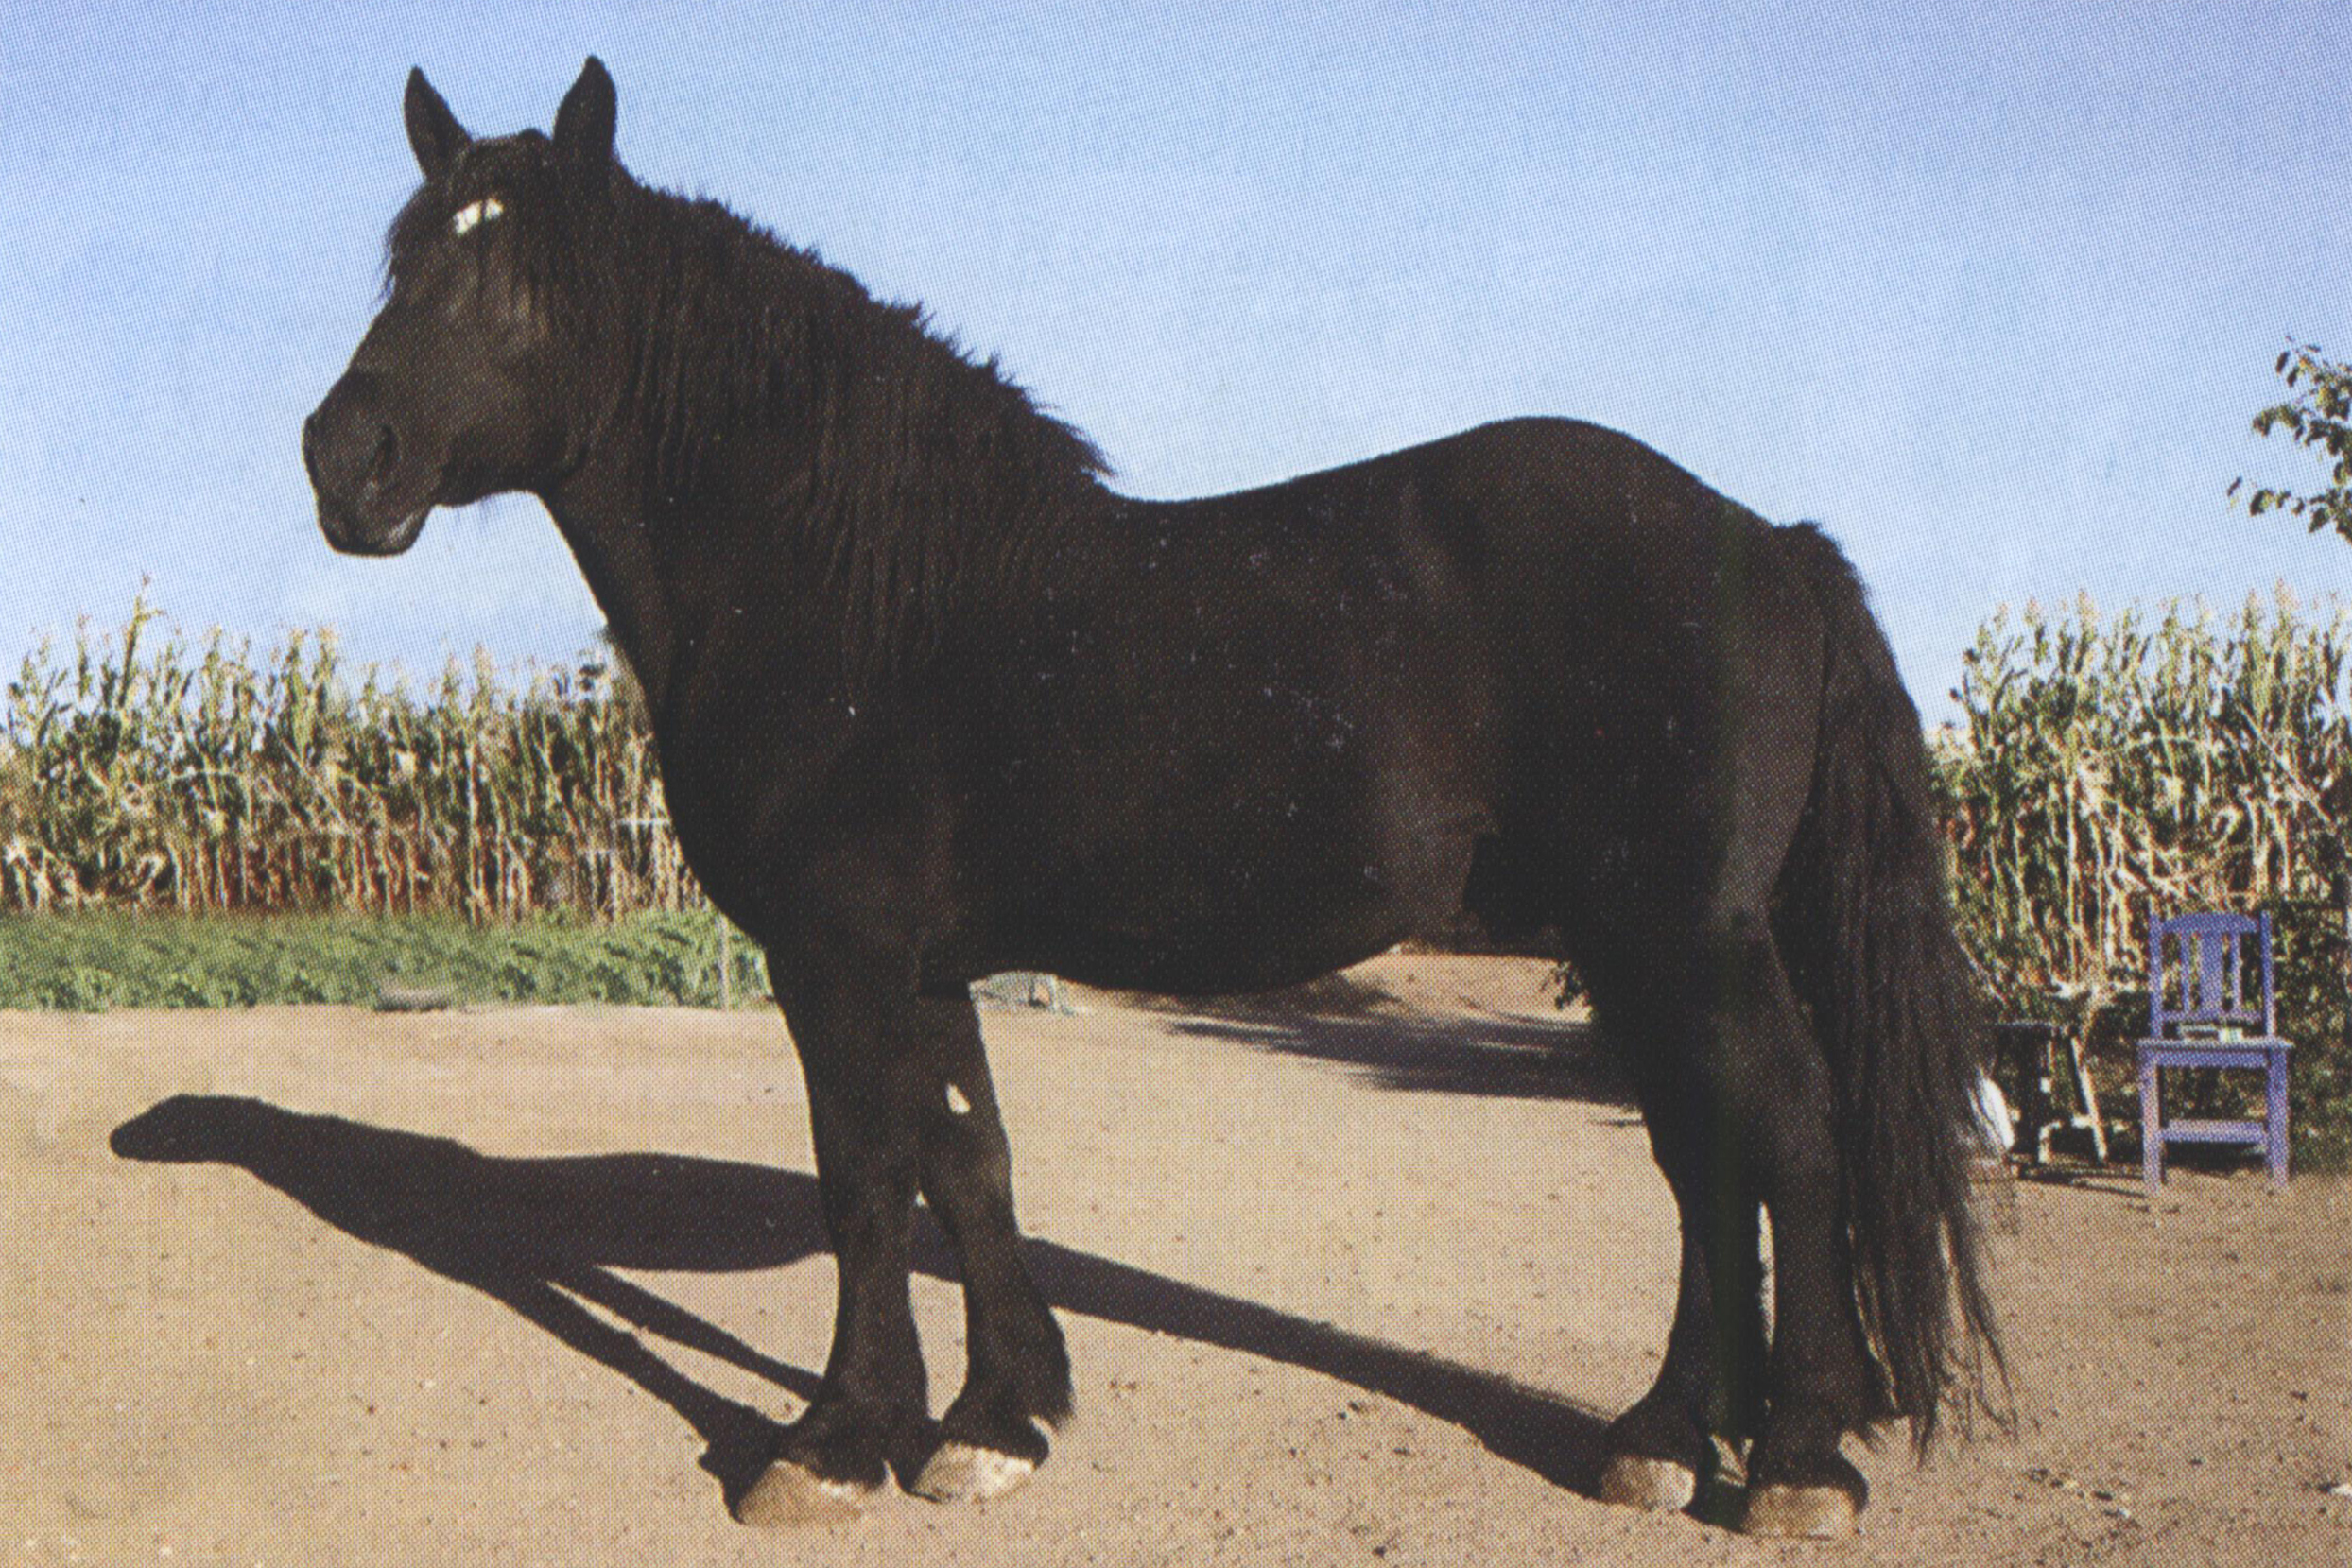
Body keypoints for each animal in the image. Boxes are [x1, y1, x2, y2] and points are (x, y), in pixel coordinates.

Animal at [302, 58, 2001, 1537]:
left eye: (522, 281)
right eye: (404, 261)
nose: (344, 456)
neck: (856, 584)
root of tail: (1764, 535)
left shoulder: (834, 953)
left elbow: (863, 1172)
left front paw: (834, 1441)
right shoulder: (924, 962)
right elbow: (965, 1158)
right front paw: (996, 1423)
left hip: (1687, 932)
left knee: (1788, 1129)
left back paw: (1796, 1460)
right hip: (1631, 944)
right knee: (1698, 1155)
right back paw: (1657, 1440)